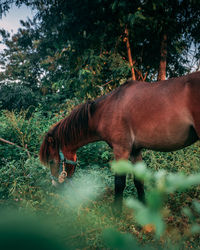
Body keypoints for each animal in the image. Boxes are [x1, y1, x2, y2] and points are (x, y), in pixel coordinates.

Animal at [39, 71, 200, 211]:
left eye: (52, 161)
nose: (54, 184)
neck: (106, 110)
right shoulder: (135, 151)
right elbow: (138, 181)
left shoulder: (121, 150)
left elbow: (119, 182)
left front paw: (116, 212)